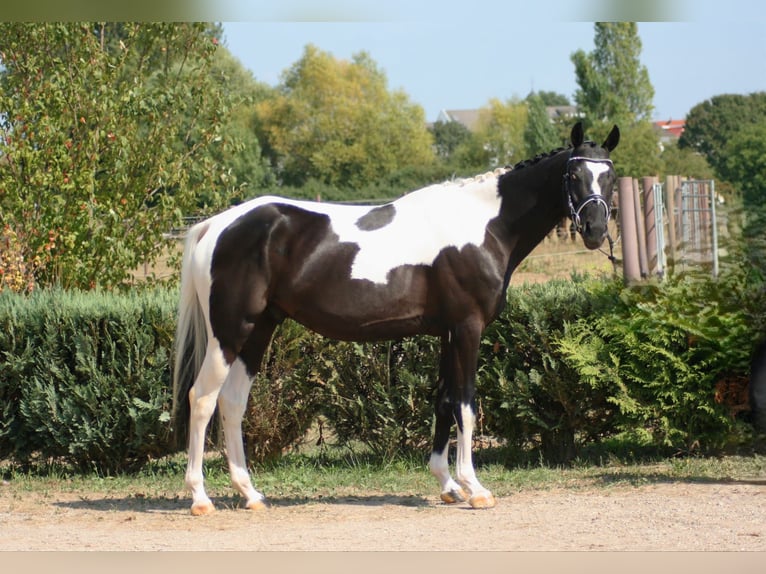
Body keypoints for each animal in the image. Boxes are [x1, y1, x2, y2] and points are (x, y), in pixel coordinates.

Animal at [172, 121, 620, 515]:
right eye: (574, 174)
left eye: (610, 177)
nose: (595, 229)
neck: (483, 226)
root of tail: (217, 224)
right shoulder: (468, 328)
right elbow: (466, 405)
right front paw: (475, 488)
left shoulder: (447, 333)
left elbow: (443, 401)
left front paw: (447, 484)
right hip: (229, 333)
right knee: (202, 399)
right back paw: (200, 498)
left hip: (258, 330)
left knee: (232, 402)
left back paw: (251, 494)